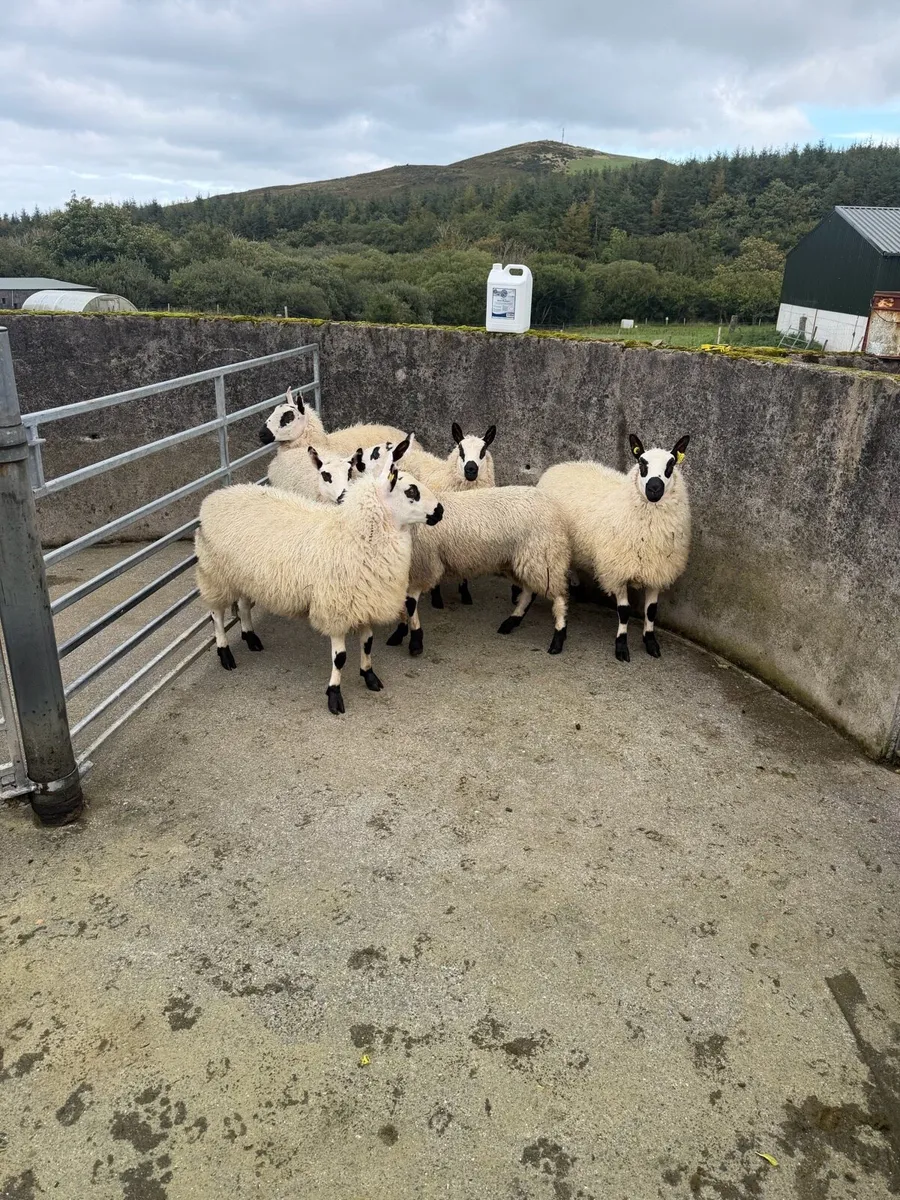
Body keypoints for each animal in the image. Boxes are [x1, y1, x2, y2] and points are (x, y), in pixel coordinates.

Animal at [195, 443, 444, 715]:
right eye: (411, 491)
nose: (440, 511)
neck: (353, 534)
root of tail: (215, 496)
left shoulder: (365, 600)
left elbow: (367, 643)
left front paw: (369, 676)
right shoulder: (335, 607)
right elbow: (340, 658)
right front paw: (334, 694)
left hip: (241, 575)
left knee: (242, 604)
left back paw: (251, 637)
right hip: (215, 574)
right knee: (216, 614)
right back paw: (225, 653)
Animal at [385, 486, 569, 657]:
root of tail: (551, 504)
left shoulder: (422, 567)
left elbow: (410, 603)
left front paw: (415, 641)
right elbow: (403, 605)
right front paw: (399, 633)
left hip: (543, 554)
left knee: (558, 595)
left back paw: (558, 638)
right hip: (518, 560)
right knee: (529, 591)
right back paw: (511, 622)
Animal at [537, 434, 691, 661]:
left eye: (670, 465)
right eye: (641, 463)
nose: (654, 489)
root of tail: (559, 466)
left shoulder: (657, 570)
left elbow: (651, 611)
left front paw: (651, 643)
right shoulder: (617, 571)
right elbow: (624, 611)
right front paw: (621, 647)